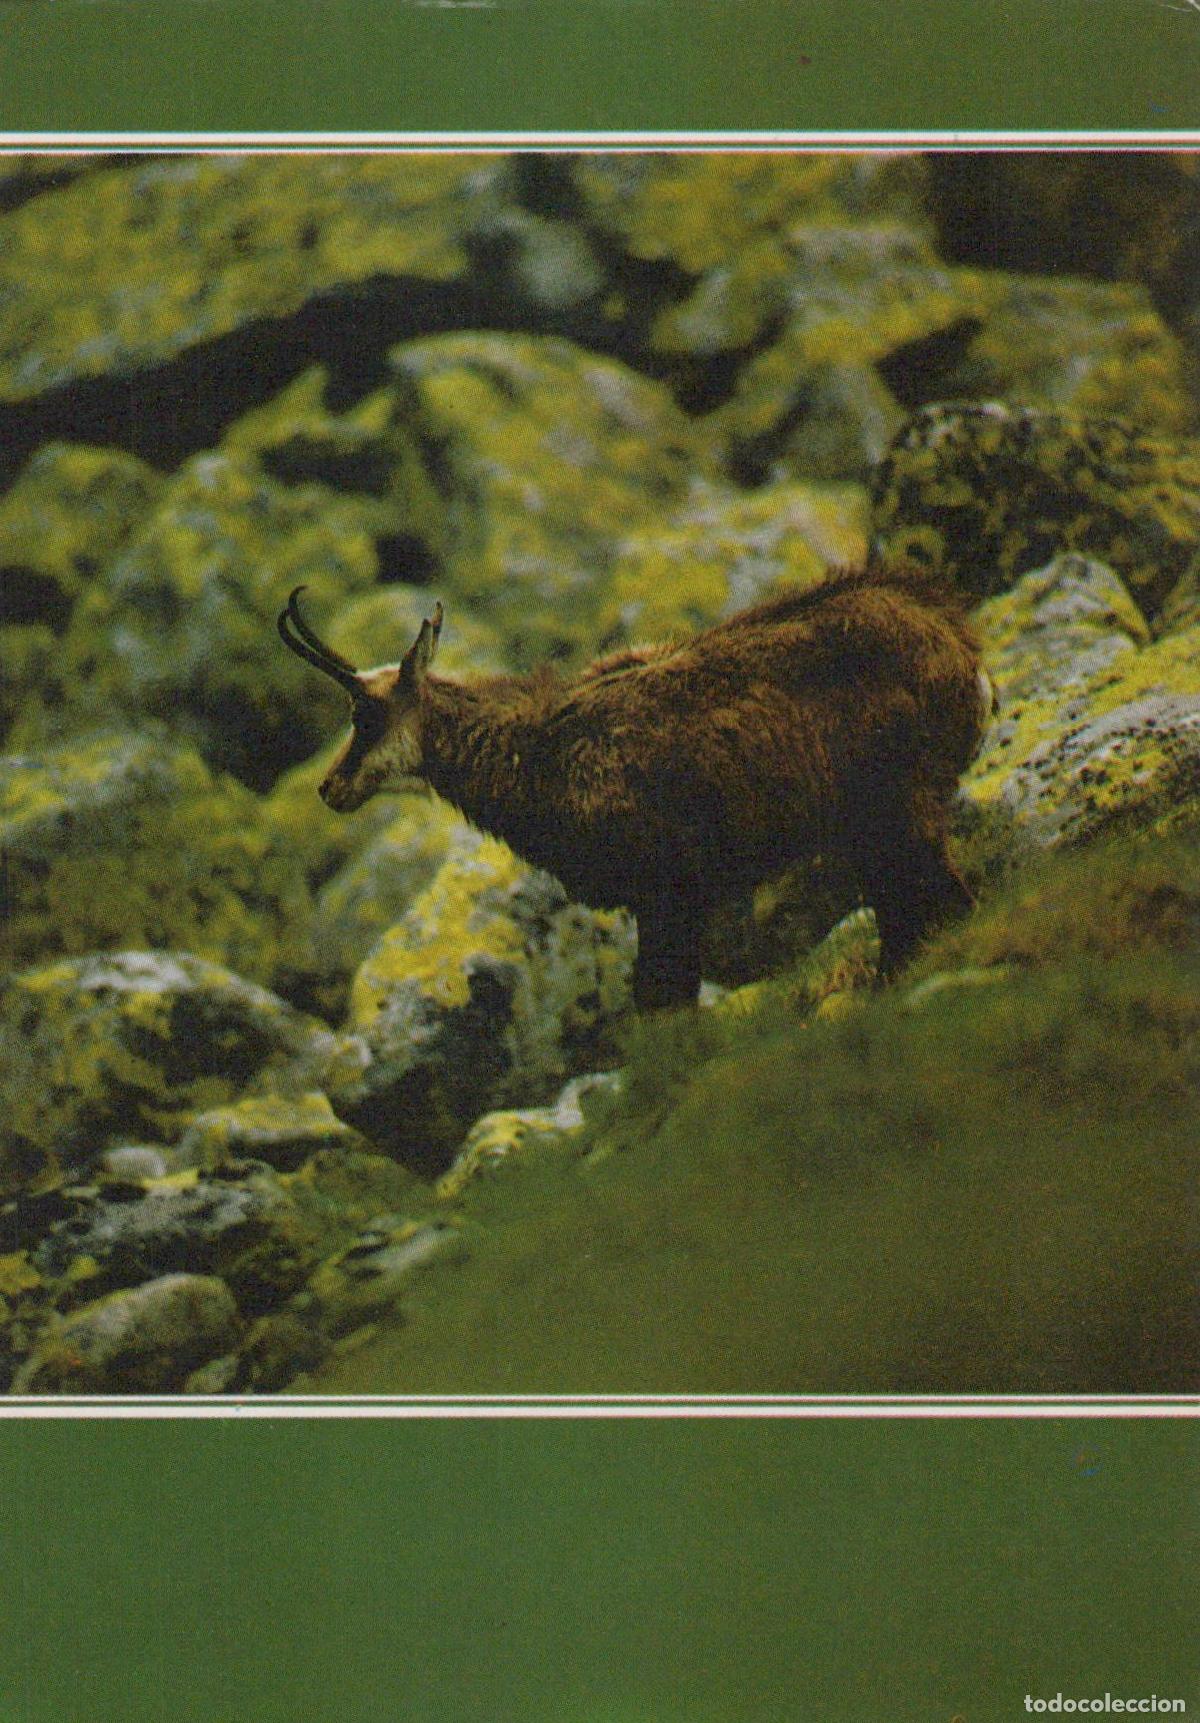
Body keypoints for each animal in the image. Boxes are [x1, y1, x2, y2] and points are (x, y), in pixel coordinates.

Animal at [278, 567, 991, 1008]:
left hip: (899, 806)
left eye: (363, 715)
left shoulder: (665, 890)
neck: (542, 751)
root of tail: (958, 642)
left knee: (940, 899)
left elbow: (660, 1001)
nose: (329, 788)